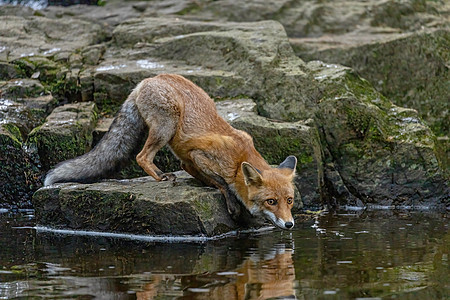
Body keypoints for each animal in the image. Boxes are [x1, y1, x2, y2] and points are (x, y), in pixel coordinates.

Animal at [44, 75, 298, 230]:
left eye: (289, 200)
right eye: (271, 201)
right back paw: (159, 176)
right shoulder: (197, 157)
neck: (238, 161)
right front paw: (233, 205)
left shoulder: (190, 161)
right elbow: (221, 183)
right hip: (166, 126)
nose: (290, 225)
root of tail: (146, 80)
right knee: (141, 156)